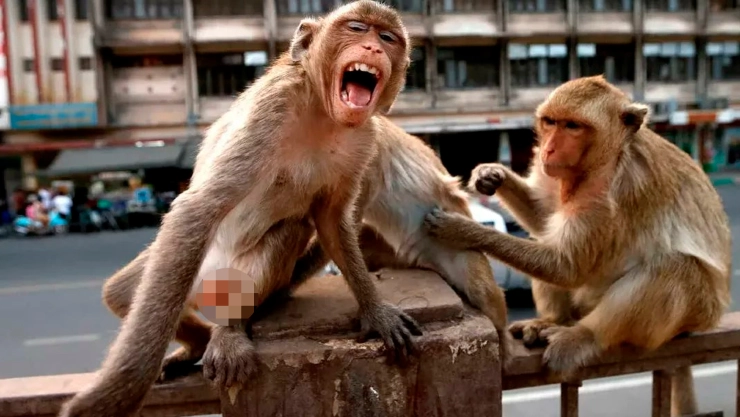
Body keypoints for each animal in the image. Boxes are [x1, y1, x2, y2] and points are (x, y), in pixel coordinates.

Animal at [58, 3, 422, 416]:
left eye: (387, 38)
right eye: (358, 28)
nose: (374, 48)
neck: (322, 112)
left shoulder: (365, 139)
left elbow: (331, 220)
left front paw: (375, 312)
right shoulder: (273, 107)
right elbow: (198, 208)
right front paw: (120, 390)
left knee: (288, 232)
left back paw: (224, 329)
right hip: (181, 268)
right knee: (124, 292)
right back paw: (204, 340)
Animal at [422, 75, 731, 416]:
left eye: (573, 126)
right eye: (551, 122)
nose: (549, 148)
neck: (606, 159)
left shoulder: (611, 193)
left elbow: (567, 266)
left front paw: (460, 230)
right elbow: (546, 220)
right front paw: (491, 175)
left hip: (694, 315)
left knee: (674, 267)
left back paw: (584, 335)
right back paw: (551, 320)